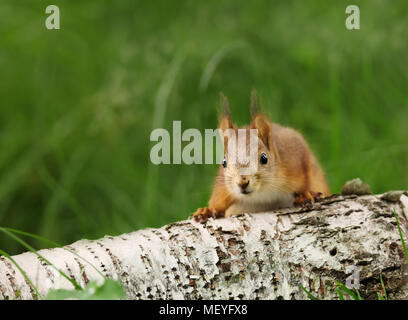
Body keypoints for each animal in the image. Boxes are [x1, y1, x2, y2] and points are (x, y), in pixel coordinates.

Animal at [193, 92, 330, 221]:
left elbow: (307, 177)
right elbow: (218, 198)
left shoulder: (295, 156)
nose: (242, 183)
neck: (263, 193)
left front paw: (304, 194)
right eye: (224, 162)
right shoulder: (223, 187)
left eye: (264, 158)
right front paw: (208, 210)